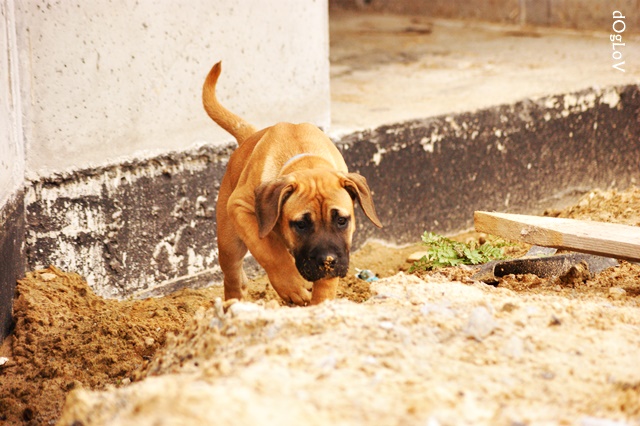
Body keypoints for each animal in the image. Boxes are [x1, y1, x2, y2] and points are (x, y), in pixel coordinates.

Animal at [202, 61, 382, 306]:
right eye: (301, 224)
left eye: (342, 221)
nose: (327, 261)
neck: (305, 161)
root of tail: (249, 136)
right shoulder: (240, 207)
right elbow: (268, 251)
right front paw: (292, 286)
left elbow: (325, 285)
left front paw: (320, 305)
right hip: (229, 242)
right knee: (232, 276)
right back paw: (233, 304)